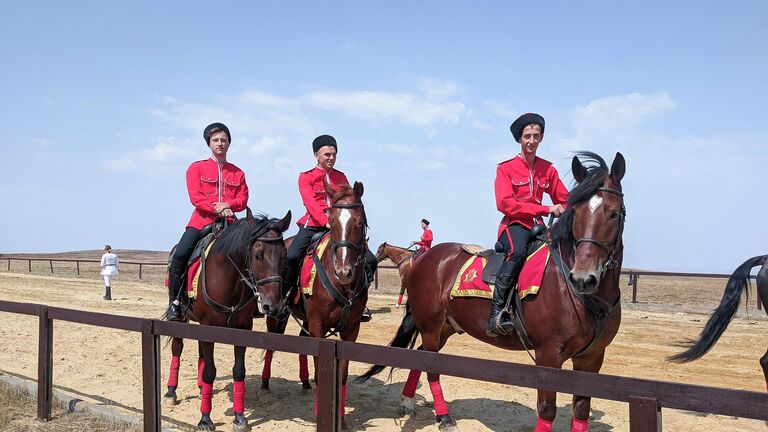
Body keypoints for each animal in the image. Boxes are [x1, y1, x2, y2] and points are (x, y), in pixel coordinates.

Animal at [164, 208, 292, 428]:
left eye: (284, 255)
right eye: (257, 255)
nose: (273, 305)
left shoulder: (243, 327)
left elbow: (238, 370)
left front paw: (240, 417)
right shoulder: (208, 326)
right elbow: (210, 371)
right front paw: (205, 419)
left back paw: (201, 388)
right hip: (180, 319)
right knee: (177, 348)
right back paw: (171, 392)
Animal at [260, 180, 368, 428]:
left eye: (359, 222)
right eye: (332, 220)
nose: (343, 272)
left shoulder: (352, 329)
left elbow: (343, 375)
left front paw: (342, 420)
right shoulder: (319, 325)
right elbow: (321, 373)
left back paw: (304, 382)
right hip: (278, 316)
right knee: (271, 344)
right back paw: (265, 383)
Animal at [358, 153, 624, 432]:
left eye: (614, 213)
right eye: (575, 212)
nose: (583, 278)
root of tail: (425, 259)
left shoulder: (592, 358)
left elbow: (581, 410)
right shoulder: (549, 355)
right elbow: (547, 409)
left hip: (446, 327)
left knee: (420, 357)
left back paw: (408, 401)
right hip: (430, 326)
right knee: (430, 367)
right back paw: (444, 417)